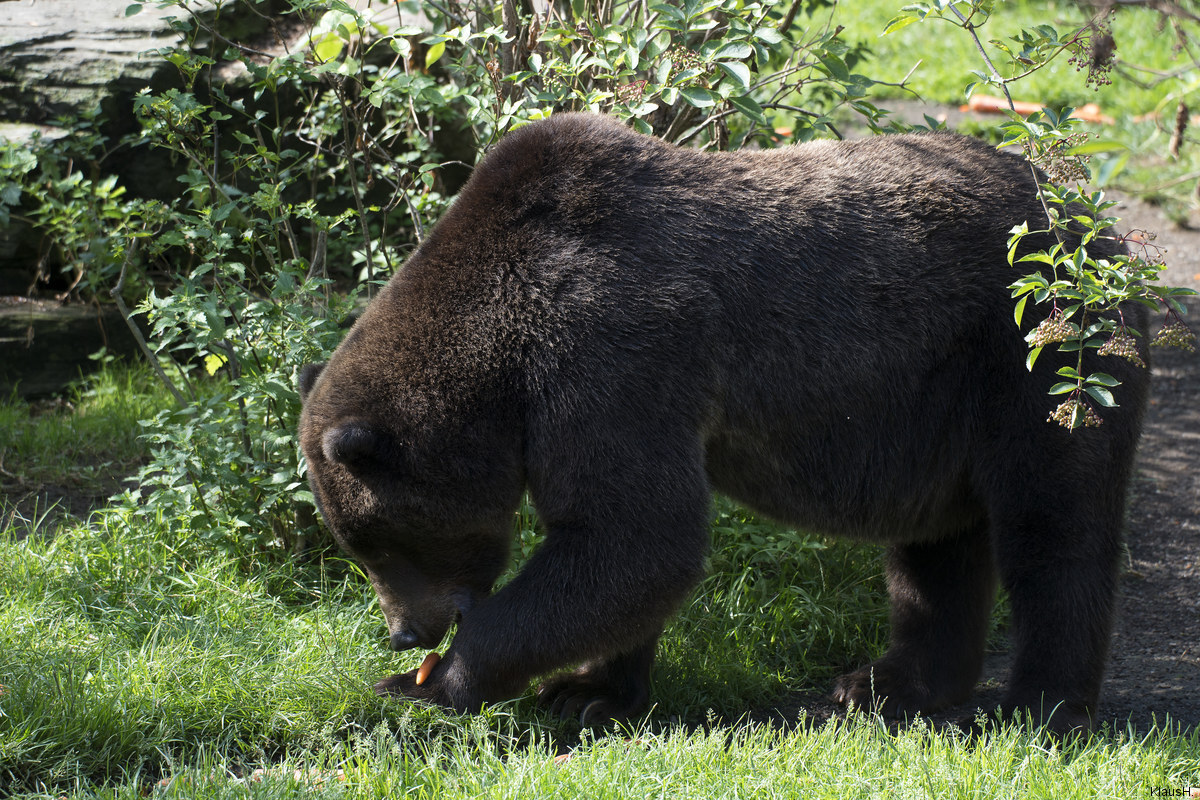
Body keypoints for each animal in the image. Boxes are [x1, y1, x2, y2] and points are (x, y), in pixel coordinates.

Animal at [295, 110, 1147, 734]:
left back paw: (1042, 705)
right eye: (356, 544)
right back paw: (887, 682)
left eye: (377, 540)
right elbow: (618, 555)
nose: (406, 633)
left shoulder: (610, 351)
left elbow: (636, 533)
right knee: (935, 548)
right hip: (936, 409)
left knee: (1053, 528)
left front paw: (439, 681)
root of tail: (1103, 228)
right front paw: (587, 690)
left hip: (1035, 357)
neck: (504, 354)